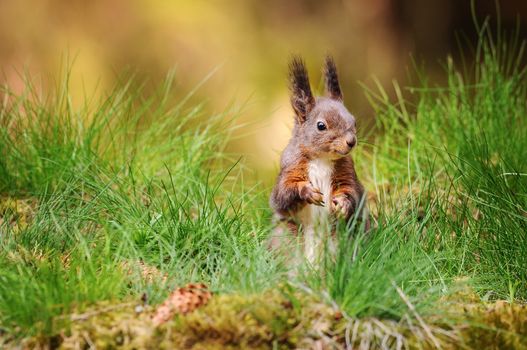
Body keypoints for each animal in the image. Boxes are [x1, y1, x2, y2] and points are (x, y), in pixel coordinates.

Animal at [270, 56, 370, 264]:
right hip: (287, 236)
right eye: (321, 126)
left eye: (354, 122)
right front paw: (307, 191)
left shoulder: (347, 172)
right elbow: (282, 194)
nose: (351, 141)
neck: (322, 159)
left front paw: (343, 203)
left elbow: (351, 191)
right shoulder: (289, 167)